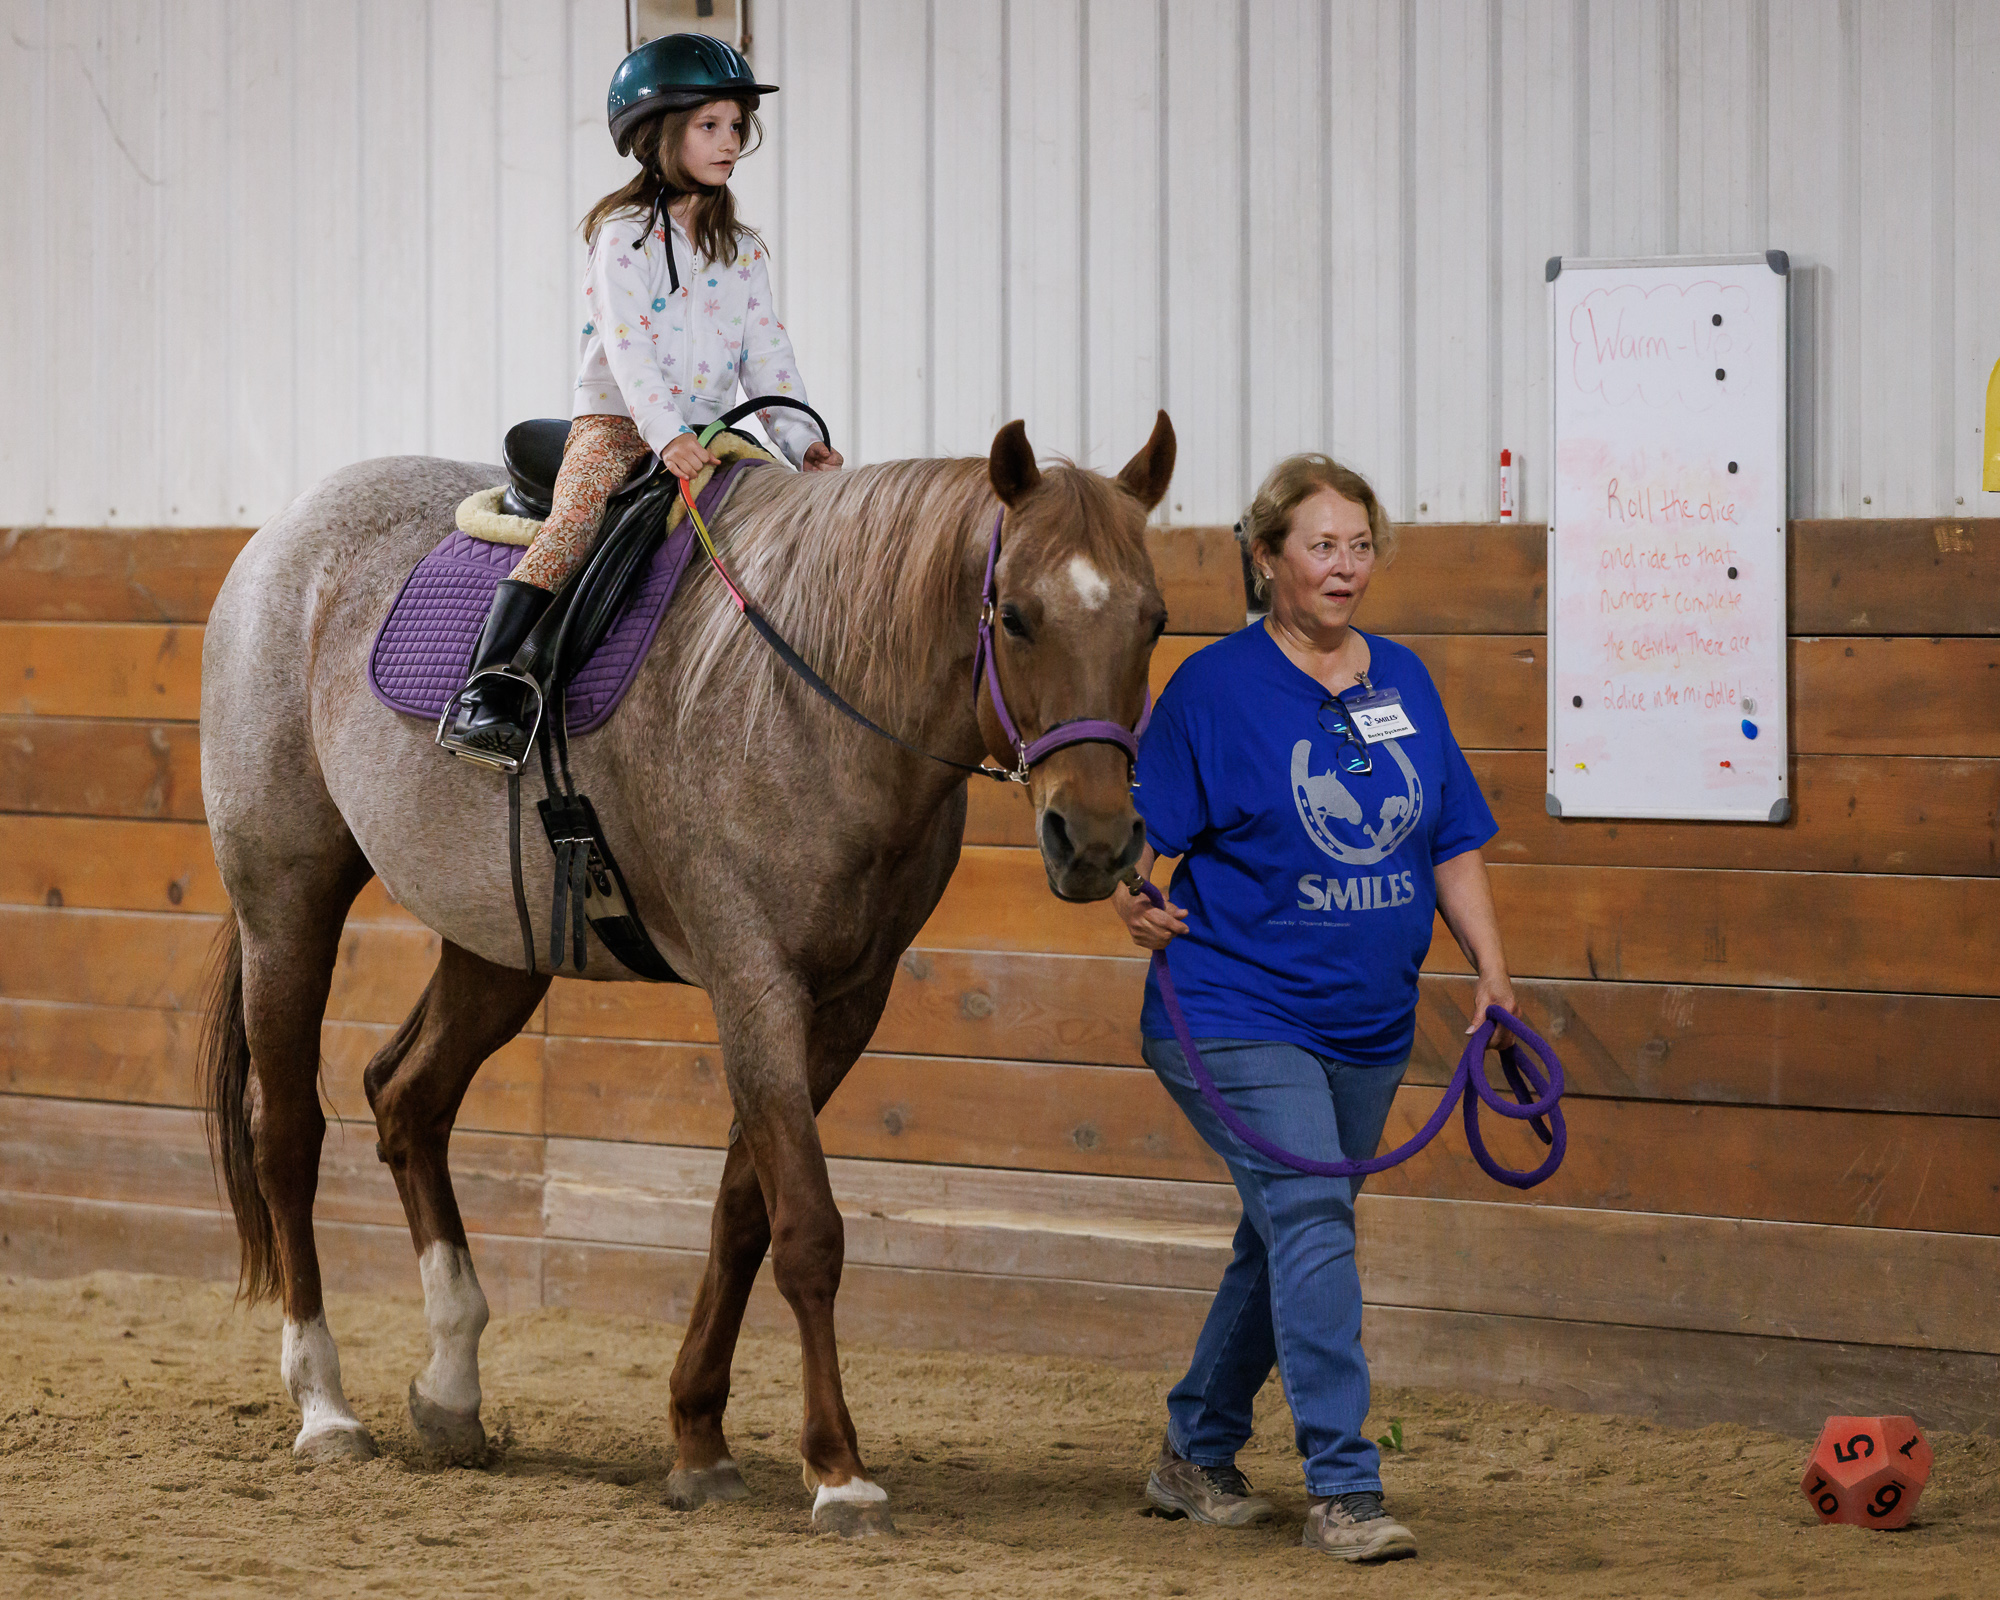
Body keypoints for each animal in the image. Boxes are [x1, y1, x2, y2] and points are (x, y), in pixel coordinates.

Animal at [196, 413, 1176, 1536]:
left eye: (1153, 621)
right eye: (1015, 616)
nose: (1093, 842)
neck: (809, 693)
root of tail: (284, 536)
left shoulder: (846, 1004)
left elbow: (744, 1213)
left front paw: (698, 1435)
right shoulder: (754, 984)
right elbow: (808, 1230)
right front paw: (837, 1469)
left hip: (500, 947)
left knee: (407, 1097)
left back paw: (449, 1387)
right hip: (287, 902)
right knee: (287, 1135)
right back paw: (323, 1404)